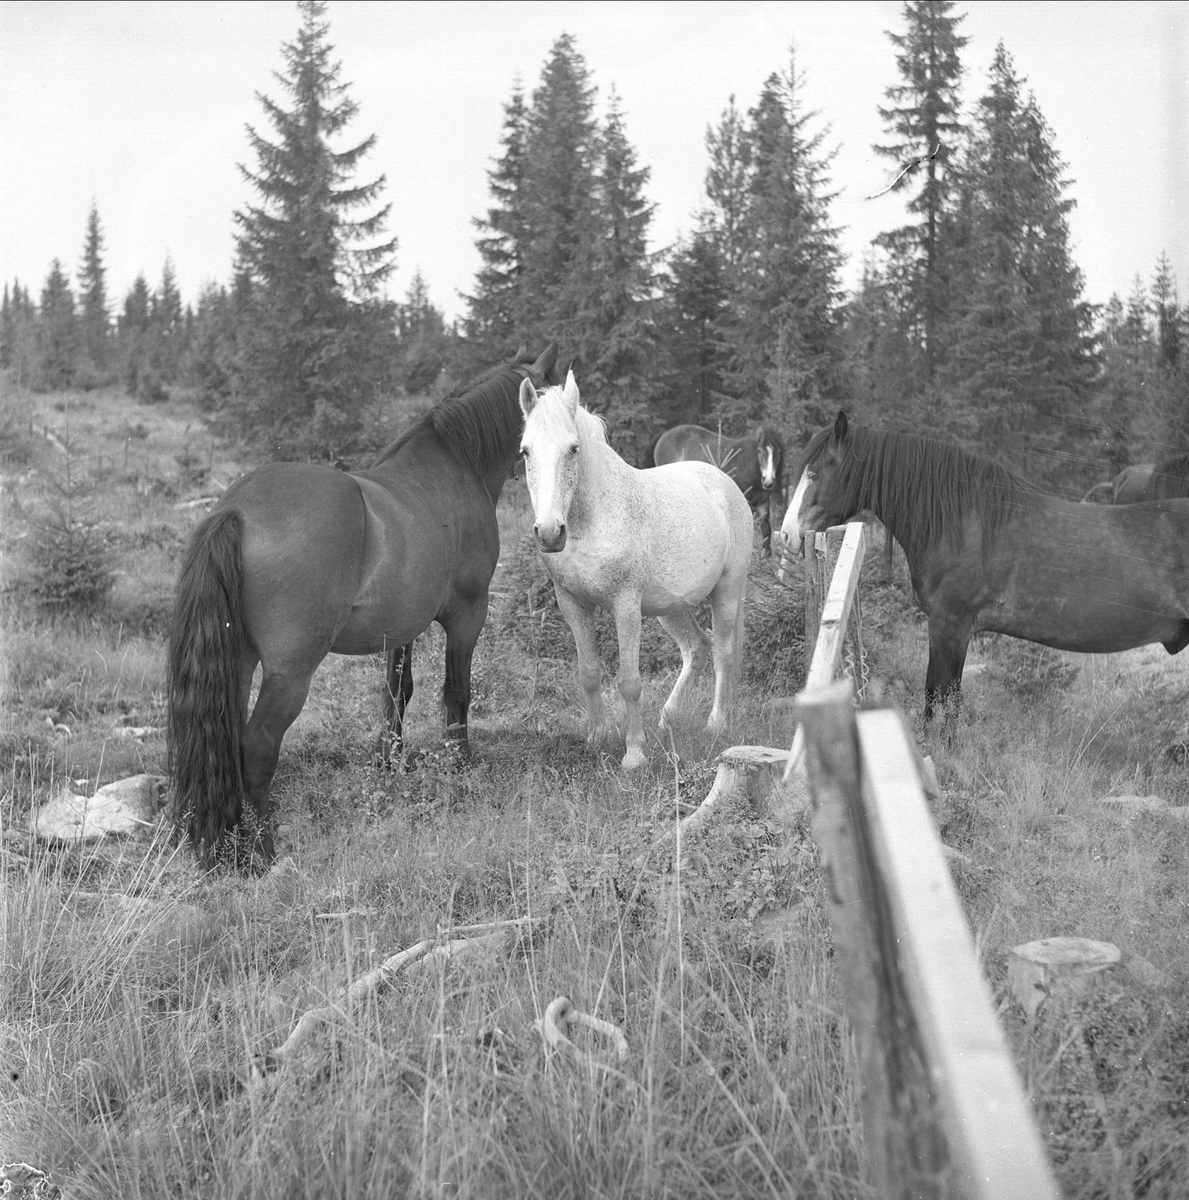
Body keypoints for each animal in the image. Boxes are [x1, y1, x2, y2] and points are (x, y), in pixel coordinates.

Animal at [167, 343, 561, 868]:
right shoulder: (467, 616)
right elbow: (456, 692)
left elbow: (397, 694)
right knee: (257, 745)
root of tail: (237, 509)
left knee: (228, 741)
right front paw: (460, 766)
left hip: (239, 660)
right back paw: (264, 850)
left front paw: (389, 765)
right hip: (290, 673)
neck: (455, 466)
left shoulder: (401, 627)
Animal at [515, 372, 748, 768]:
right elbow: (589, 673)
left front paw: (634, 753)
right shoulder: (572, 603)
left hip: (726, 593)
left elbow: (629, 681)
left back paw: (716, 724)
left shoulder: (625, 605)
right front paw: (597, 737)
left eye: (573, 449)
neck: (592, 521)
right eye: (525, 451)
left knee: (723, 653)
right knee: (696, 648)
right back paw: (667, 719)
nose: (548, 532)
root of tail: (723, 482)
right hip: (671, 608)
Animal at [652, 424, 791, 554]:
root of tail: (664, 436)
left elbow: (766, 527)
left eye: (778, 452)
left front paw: (765, 554)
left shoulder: (762, 503)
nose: (768, 482)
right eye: (759, 451)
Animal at [782, 417, 1189, 720]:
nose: (787, 534)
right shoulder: (947, 630)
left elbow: (942, 701)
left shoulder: (951, 627)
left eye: (815, 473)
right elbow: (938, 698)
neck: (964, 523)